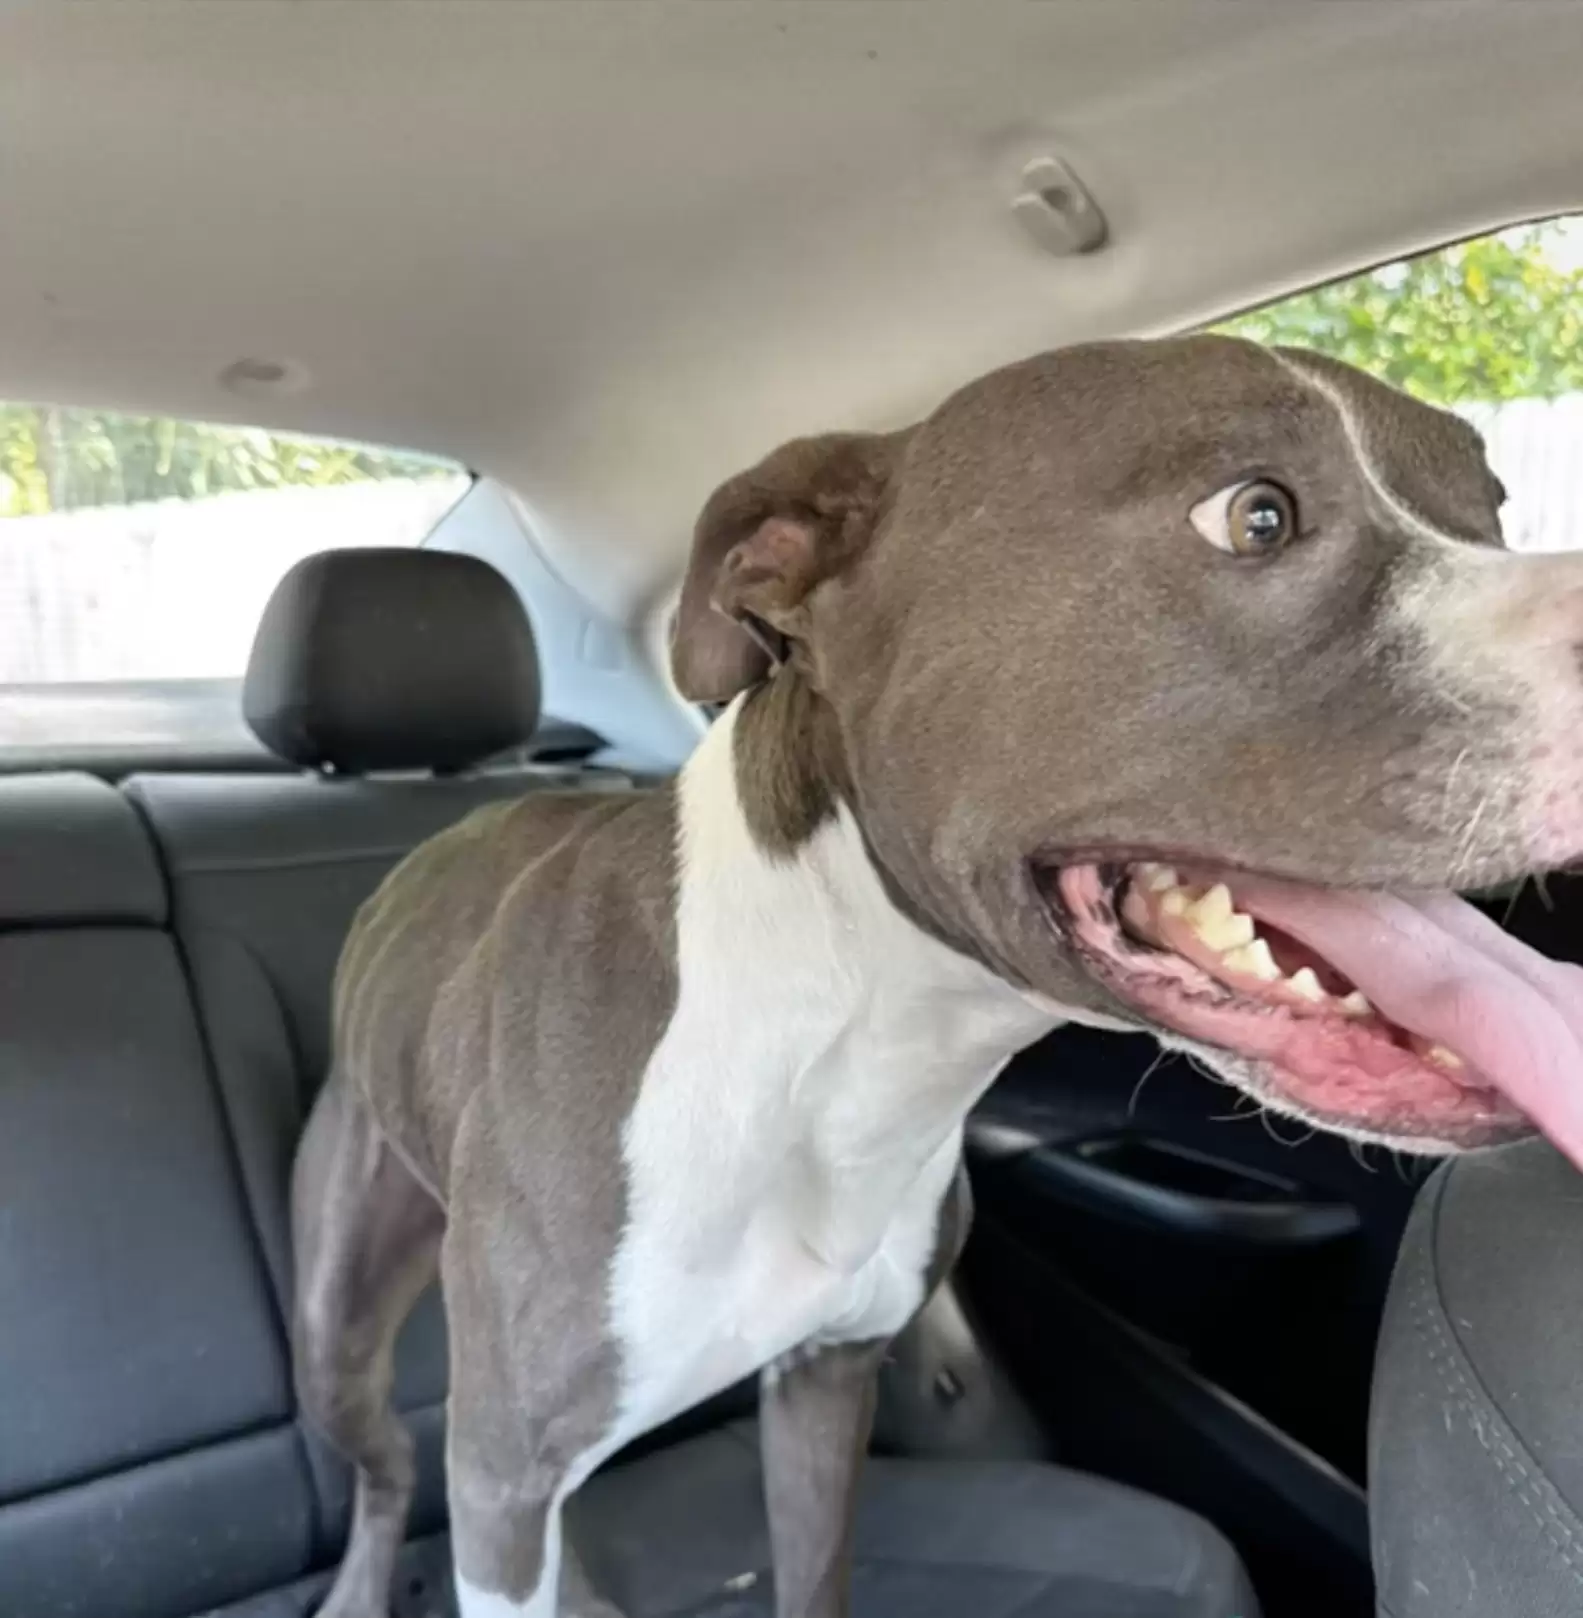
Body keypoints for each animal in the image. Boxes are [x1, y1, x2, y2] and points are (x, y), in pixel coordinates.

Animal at [289, 331, 1579, 1618]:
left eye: (1489, 510)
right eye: (1253, 515)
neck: (846, 1044)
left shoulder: (827, 1379)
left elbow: (813, 1571)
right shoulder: (504, 1480)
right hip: (340, 1321)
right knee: (382, 1466)